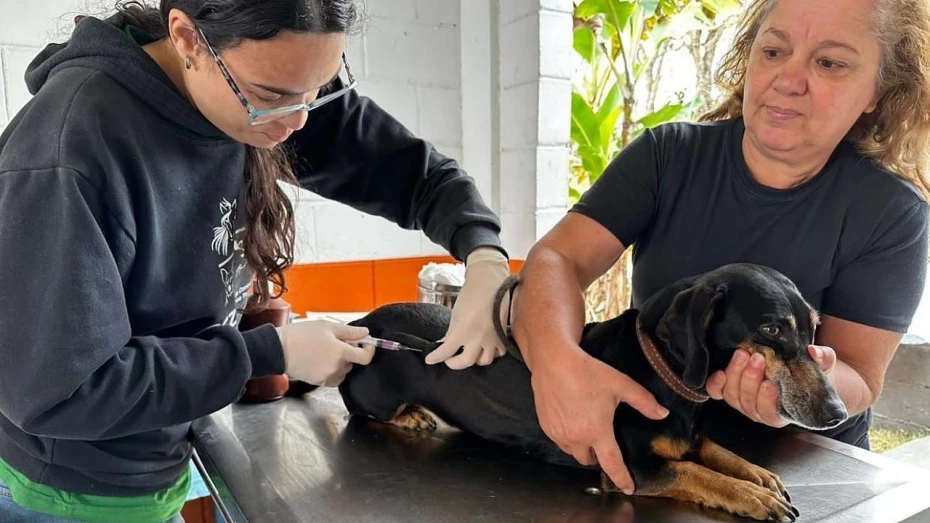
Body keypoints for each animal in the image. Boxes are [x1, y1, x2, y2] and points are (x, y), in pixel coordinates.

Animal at [336, 264, 848, 520]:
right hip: (373, 394)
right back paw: (409, 415)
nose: (837, 413)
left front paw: (758, 476)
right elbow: (699, 474)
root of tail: (365, 323)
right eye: (772, 329)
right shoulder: (634, 470)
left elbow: (718, 453)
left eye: (813, 327)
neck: (658, 370)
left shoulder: (688, 437)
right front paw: (751, 496)